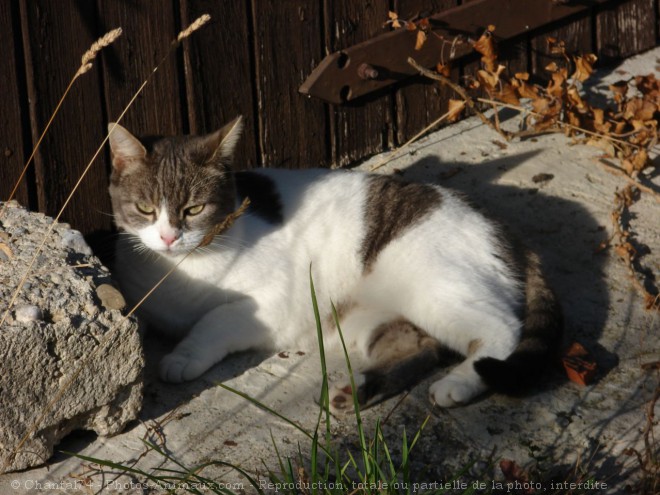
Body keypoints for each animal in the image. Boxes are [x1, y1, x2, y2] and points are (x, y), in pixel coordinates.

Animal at [108, 118, 564, 408]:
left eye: (194, 209)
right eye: (145, 209)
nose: (169, 237)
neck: (183, 268)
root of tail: (504, 229)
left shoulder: (272, 307)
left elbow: (213, 321)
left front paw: (183, 356)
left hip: (434, 289)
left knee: (500, 331)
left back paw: (459, 383)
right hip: (365, 317)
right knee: (420, 346)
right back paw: (356, 391)